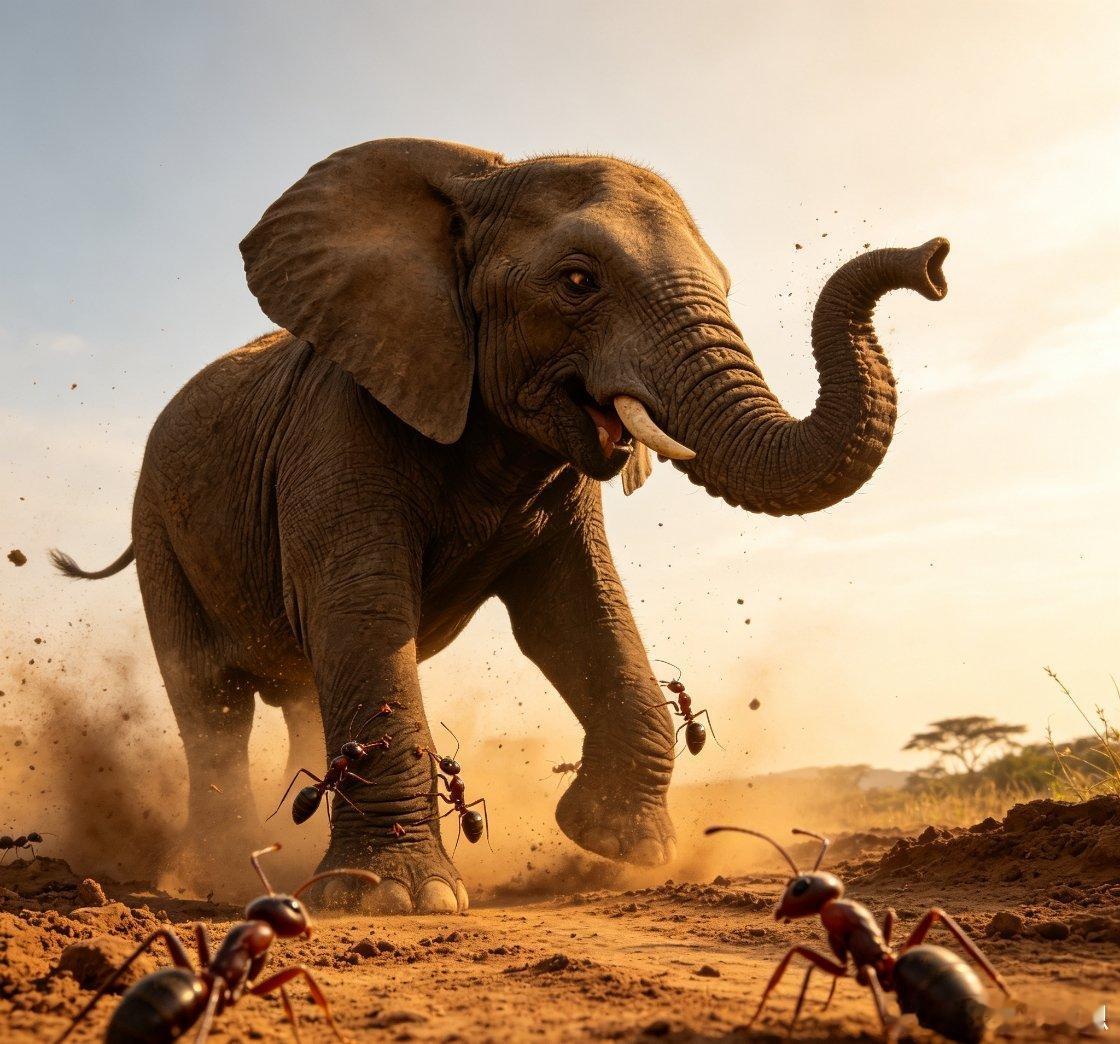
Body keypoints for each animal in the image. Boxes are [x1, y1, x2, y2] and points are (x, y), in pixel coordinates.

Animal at [52, 138, 948, 914]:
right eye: (578, 281)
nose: (935, 260)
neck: (474, 181)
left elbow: (580, 616)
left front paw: (617, 846)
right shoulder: (339, 421)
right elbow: (363, 611)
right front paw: (398, 900)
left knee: (300, 691)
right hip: (158, 525)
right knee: (210, 699)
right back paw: (216, 871)